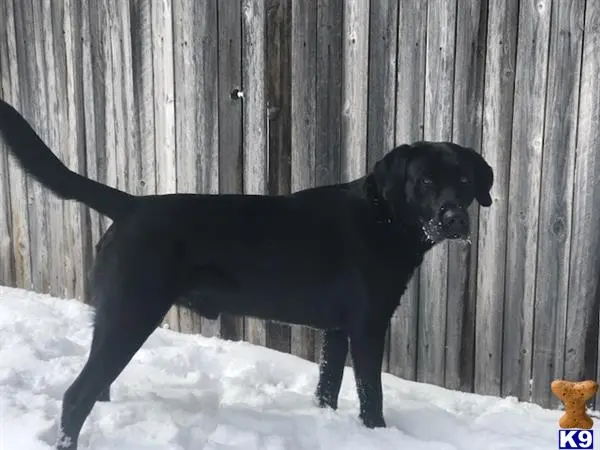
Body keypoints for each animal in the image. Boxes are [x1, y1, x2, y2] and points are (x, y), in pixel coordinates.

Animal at [0, 97, 492, 446]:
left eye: (465, 181)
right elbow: (372, 393)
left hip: (115, 317)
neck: (383, 216)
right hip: (131, 314)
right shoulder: (368, 327)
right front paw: (377, 433)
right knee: (75, 396)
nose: (454, 218)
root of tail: (131, 204)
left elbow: (327, 386)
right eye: (425, 181)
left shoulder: (336, 330)